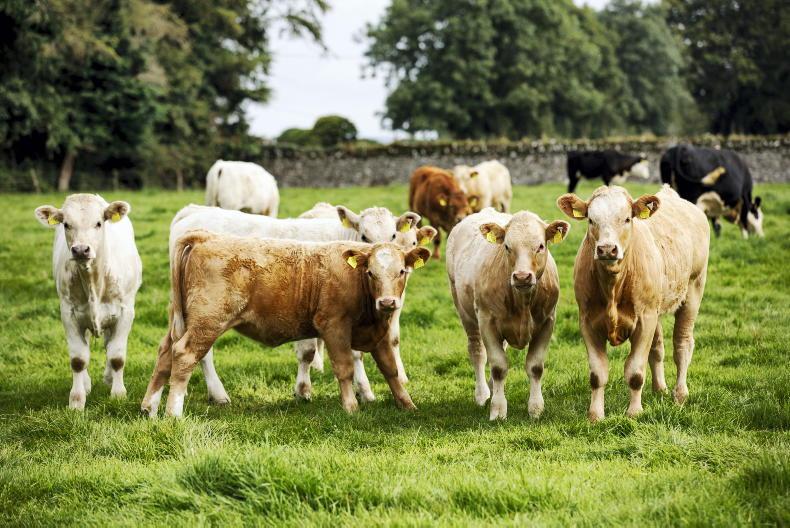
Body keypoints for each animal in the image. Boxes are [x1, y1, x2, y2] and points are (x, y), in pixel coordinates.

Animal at [34, 195, 142, 410]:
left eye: (99, 223)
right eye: (66, 224)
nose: (81, 250)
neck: (94, 280)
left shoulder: (125, 312)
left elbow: (117, 356)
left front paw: (118, 394)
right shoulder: (68, 314)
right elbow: (78, 359)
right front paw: (77, 400)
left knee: (109, 345)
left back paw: (109, 378)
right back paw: (86, 383)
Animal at [168, 203, 435, 405]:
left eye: (393, 236)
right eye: (364, 236)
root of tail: (194, 211)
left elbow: (357, 353)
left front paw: (365, 392)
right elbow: (309, 353)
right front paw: (304, 391)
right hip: (209, 312)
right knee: (201, 352)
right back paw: (218, 394)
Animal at [447, 208, 569, 420]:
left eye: (540, 246)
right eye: (507, 246)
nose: (522, 276)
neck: (522, 301)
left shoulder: (547, 322)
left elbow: (535, 367)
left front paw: (535, 408)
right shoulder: (487, 321)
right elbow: (498, 366)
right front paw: (498, 409)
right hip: (465, 312)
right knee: (477, 351)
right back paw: (482, 394)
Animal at [557, 185, 709, 421]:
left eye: (627, 219)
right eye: (591, 219)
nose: (607, 249)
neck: (613, 285)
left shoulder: (644, 321)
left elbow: (635, 371)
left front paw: (634, 412)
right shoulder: (587, 322)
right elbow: (597, 374)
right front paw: (595, 415)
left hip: (693, 290)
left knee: (682, 345)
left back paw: (680, 394)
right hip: (656, 308)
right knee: (658, 348)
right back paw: (660, 389)